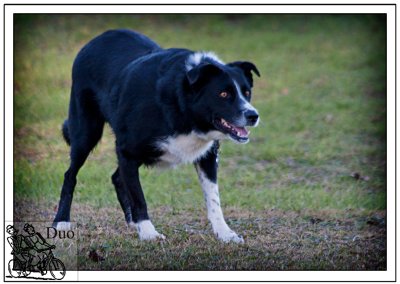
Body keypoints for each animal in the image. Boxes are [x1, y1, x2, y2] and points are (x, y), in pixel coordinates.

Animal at [52, 29, 260, 244]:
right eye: (224, 94)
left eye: (247, 92)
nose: (253, 115)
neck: (181, 103)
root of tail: (96, 39)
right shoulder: (126, 151)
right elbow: (139, 197)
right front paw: (148, 233)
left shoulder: (208, 155)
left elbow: (213, 199)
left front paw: (225, 233)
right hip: (86, 133)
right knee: (70, 175)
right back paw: (62, 221)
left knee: (117, 177)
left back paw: (132, 222)